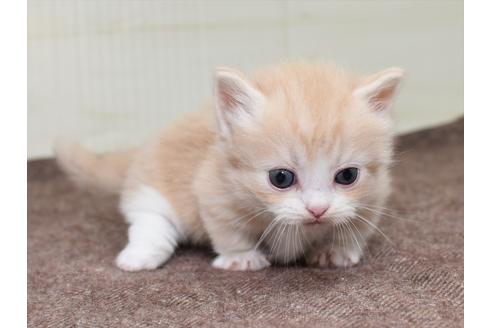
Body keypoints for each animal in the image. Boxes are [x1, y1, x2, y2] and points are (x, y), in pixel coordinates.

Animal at [55, 62, 404, 272]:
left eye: (347, 176)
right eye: (281, 178)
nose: (317, 210)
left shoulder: (374, 196)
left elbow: (355, 227)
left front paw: (336, 251)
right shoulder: (213, 190)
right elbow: (228, 231)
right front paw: (242, 258)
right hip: (151, 187)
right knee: (151, 221)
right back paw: (139, 256)